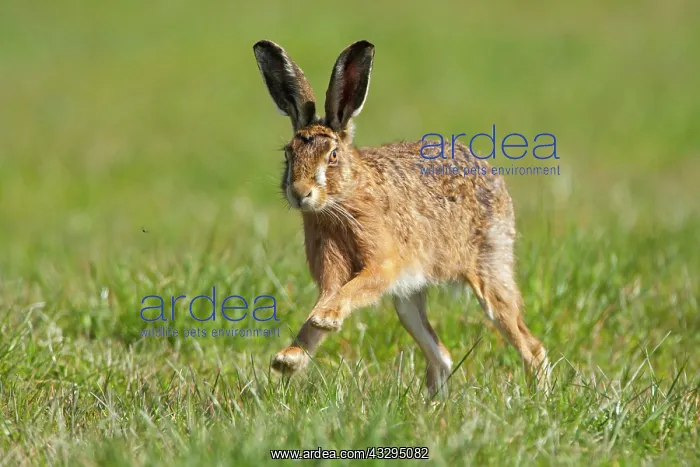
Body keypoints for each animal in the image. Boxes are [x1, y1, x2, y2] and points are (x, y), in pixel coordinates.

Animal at [253, 39, 550, 396]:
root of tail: (490, 172)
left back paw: (540, 398)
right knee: (441, 356)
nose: (300, 193)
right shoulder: (331, 267)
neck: (342, 199)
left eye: (332, 155)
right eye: (289, 154)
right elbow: (327, 299)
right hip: (407, 300)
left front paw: (325, 320)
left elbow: (351, 291)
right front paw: (289, 358)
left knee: (530, 346)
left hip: (490, 271)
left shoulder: (383, 264)